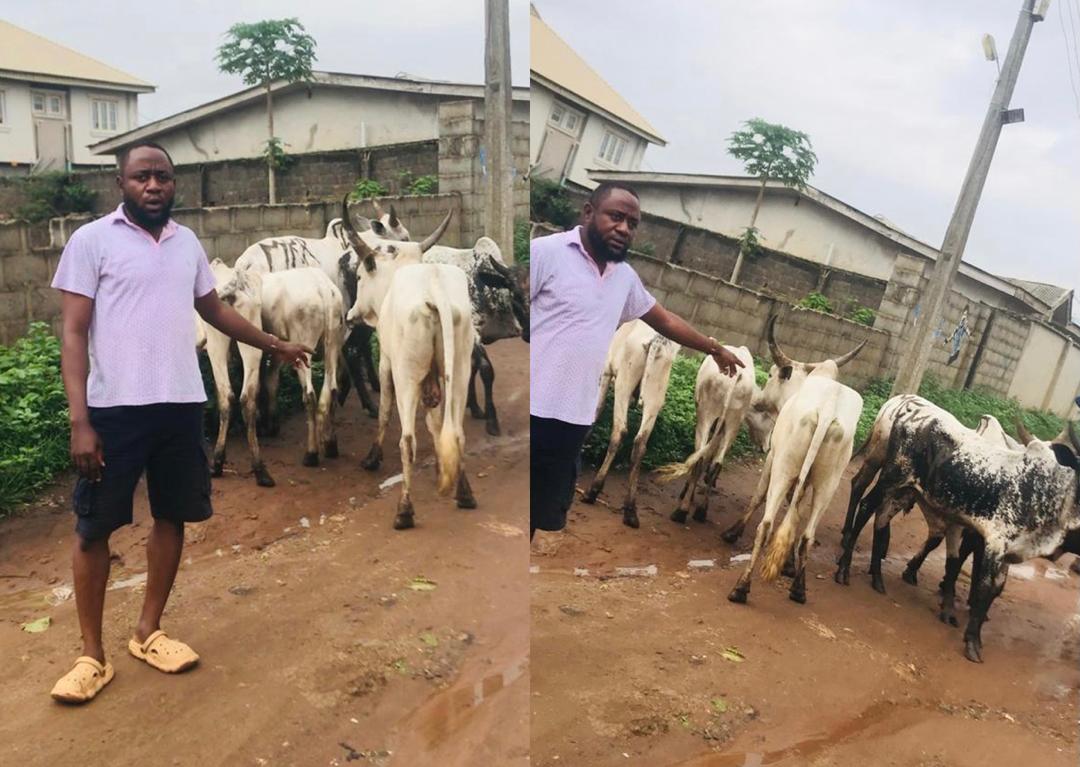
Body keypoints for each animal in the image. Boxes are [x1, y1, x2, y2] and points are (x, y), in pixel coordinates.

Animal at [339, 208, 487, 530]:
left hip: (407, 375)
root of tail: (435, 290)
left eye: (360, 276)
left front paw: (372, 457)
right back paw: (464, 493)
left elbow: (383, 412)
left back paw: (404, 510)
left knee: (407, 440)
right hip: (459, 370)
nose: (350, 314)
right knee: (457, 432)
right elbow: (435, 423)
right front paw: (442, 468)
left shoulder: (386, 363)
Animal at [579, 320, 680, 529]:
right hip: (655, 396)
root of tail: (656, 341)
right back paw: (631, 511)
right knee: (640, 442)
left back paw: (593, 491)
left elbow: (594, 413)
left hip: (623, 384)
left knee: (620, 432)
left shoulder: (605, 372)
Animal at [727, 362, 864, 606]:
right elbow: (796, 509)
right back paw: (799, 589)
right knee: (807, 535)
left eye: (770, 374)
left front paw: (734, 532)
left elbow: (759, 496)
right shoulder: (806, 479)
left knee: (766, 524)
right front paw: (789, 565)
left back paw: (741, 587)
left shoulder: (773, 457)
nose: (758, 400)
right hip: (828, 483)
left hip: (783, 467)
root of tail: (827, 409)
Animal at [833, 395, 1080, 662]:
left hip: (902, 489)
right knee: (865, 503)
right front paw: (971, 640)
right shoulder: (994, 541)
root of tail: (907, 410)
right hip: (891, 475)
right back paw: (844, 568)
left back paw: (876, 577)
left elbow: (995, 588)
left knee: (880, 517)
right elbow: (982, 586)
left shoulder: (1010, 550)